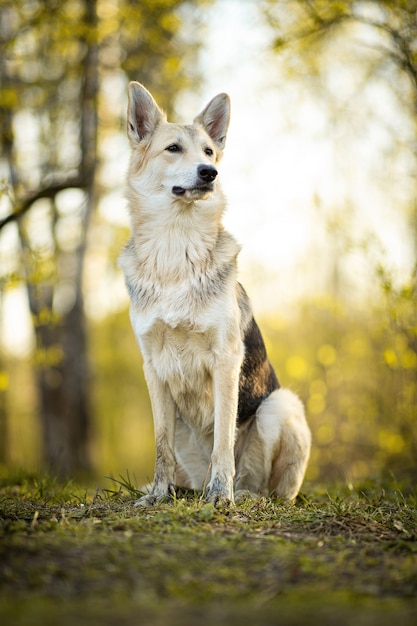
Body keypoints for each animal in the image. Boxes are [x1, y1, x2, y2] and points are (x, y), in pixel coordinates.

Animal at [117, 83, 308, 504]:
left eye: (208, 151)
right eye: (173, 148)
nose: (210, 173)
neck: (176, 246)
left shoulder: (225, 358)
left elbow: (223, 438)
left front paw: (221, 494)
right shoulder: (152, 367)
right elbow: (160, 446)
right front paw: (158, 493)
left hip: (280, 404)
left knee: (267, 486)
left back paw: (241, 494)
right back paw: (183, 489)